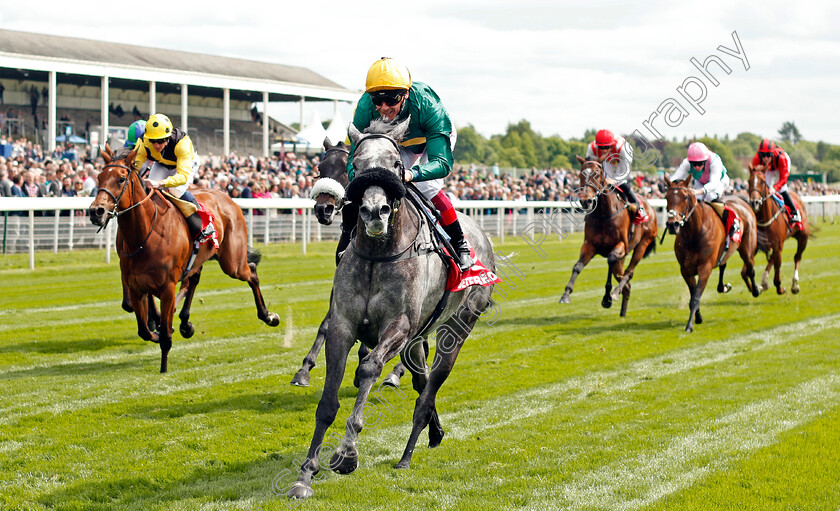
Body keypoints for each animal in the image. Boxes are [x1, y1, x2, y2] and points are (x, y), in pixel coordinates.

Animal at [88, 144, 280, 372]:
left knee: (251, 272)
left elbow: (164, 335)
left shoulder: (167, 286)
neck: (145, 235)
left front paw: (163, 368)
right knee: (194, 280)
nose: (96, 211)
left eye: (120, 178)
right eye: (99, 177)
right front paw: (159, 329)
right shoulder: (135, 285)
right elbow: (144, 329)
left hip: (232, 262)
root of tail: (226, 196)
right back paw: (185, 323)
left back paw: (268, 316)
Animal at [288, 117, 498, 500]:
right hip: (418, 338)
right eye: (355, 165)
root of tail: (485, 240)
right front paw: (305, 474)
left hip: (456, 329)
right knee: (422, 380)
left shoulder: (398, 326)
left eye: (397, 164)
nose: (374, 211)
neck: (378, 253)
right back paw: (433, 431)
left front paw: (347, 453)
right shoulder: (344, 322)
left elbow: (370, 367)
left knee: (429, 388)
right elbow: (327, 402)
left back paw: (407, 455)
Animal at [560, 155, 660, 316]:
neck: (603, 214)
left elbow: (611, 259)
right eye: (580, 174)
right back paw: (622, 313)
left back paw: (615, 293)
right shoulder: (590, 245)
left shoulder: (621, 245)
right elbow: (577, 266)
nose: (585, 201)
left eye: (597, 174)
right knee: (627, 284)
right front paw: (566, 294)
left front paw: (607, 297)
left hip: (642, 244)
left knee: (629, 272)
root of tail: (651, 208)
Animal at [668, 176, 760, 334]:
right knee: (723, 264)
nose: (672, 225)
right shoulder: (685, 269)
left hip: (747, 247)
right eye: (666, 197)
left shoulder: (705, 267)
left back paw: (755, 290)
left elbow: (696, 296)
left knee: (750, 268)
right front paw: (698, 317)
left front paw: (689, 325)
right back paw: (724, 287)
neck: (694, 232)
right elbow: (693, 294)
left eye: (685, 197)